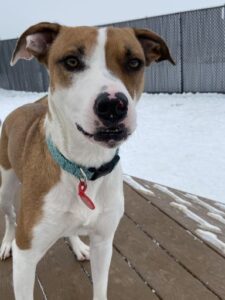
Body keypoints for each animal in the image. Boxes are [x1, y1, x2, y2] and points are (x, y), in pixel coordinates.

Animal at [0, 22, 174, 298]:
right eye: (71, 61)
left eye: (134, 63)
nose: (113, 105)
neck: (84, 167)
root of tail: (23, 106)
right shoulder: (25, 257)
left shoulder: (104, 242)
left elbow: (100, 288)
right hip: (5, 188)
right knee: (9, 215)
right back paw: (6, 242)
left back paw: (78, 245)